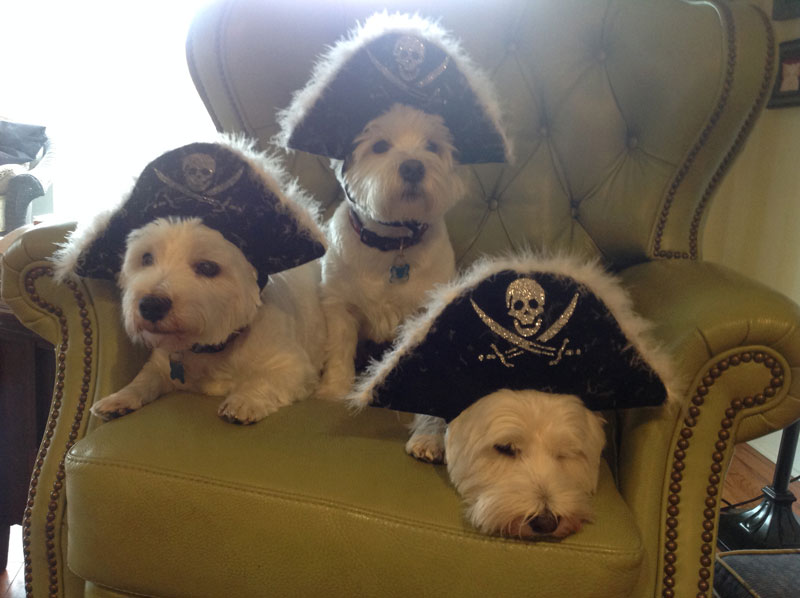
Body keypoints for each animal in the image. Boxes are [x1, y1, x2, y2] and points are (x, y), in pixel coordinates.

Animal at [90, 217, 326, 424]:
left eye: (207, 267)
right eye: (146, 258)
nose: (150, 306)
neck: (213, 349)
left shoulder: (295, 367)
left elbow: (264, 380)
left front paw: (244, 400)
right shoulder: (159, 365)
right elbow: (144, 379)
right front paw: (118, 398)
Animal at [316, 103, 465, 459]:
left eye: (432, 147)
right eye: (380, 146)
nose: (413, 166)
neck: (392, 244)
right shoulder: (339, 306)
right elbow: (339, 348)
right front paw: (333, 391)